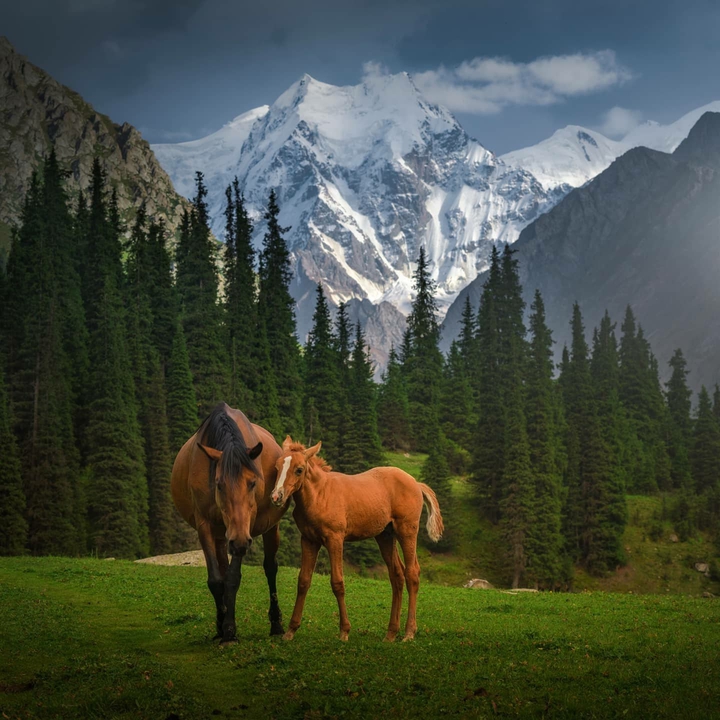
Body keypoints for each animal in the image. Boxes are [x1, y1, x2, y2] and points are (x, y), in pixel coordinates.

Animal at [171, 403, 289, 643]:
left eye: (253, 483)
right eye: (219, 484)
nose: (240, 541)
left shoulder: (245, 527)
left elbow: (233, 578)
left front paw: (230, 630)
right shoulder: (205, 525)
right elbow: (217, 580)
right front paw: (222, 627)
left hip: (270, 528)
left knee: (270, 568)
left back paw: (276, 624)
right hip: (221, 534)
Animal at [270, 437, 444, 642]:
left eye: (299, 469)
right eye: (277, 466)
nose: (276, 496)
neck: (319, 494)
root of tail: (416, 483)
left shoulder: (335, 539)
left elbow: (337, 582)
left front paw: (344, 631)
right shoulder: (308, 540)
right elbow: (303, 581)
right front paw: (290, 630)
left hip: (407, 530)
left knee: (412, 573)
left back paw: (409, 632)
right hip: (385, 535)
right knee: (397, 575)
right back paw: (391, 633)